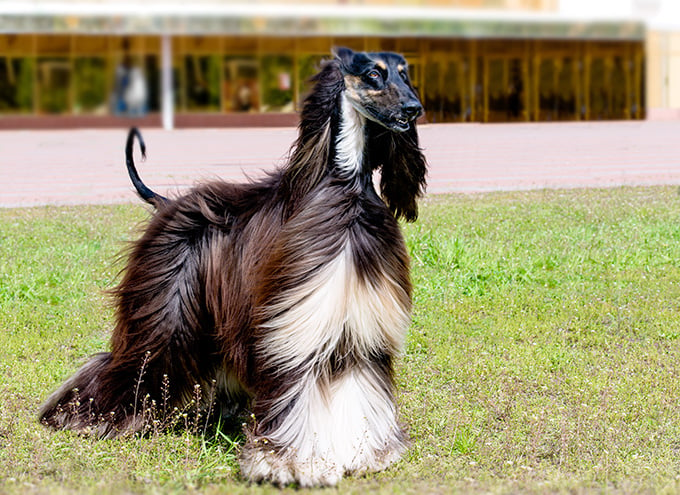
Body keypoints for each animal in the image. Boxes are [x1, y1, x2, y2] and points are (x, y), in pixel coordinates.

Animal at [39, 47, 424, 488]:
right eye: (374, 74)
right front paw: (290, 463)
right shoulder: (296, 332)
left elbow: (359, 388)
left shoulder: (358, 330)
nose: (414, 108)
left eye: (405, 73)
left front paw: (367, 453)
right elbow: (299, 392)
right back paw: (82, 416)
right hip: (165, 307)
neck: (346, 192)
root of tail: (167, 203)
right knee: (128, 360)